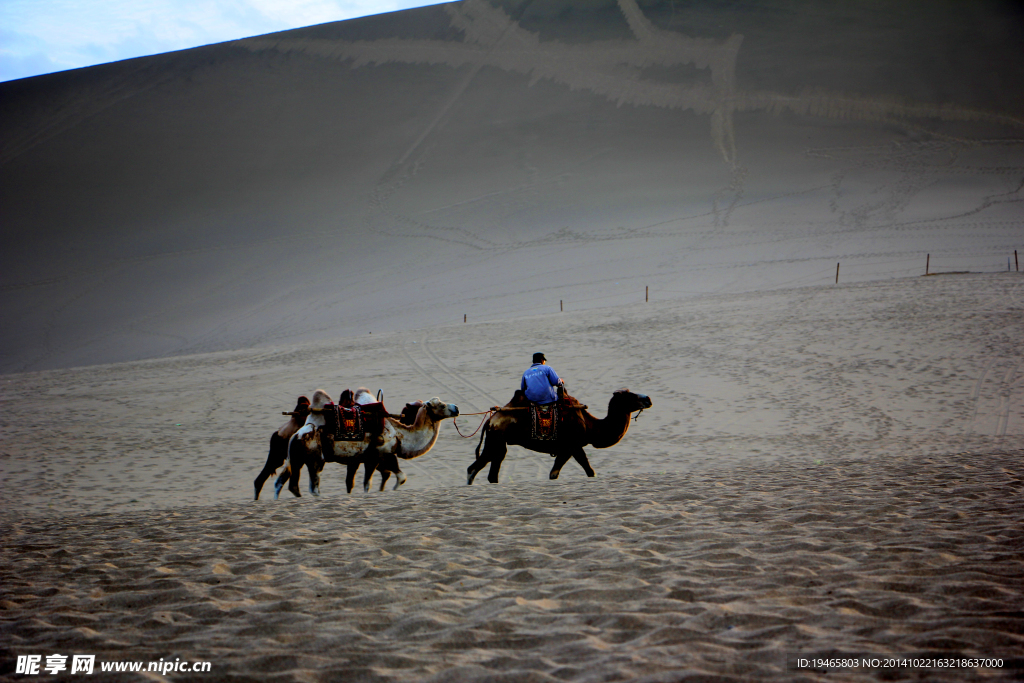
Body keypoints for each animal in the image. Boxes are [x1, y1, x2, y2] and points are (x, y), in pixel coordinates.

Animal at [278, 389, 458, 497]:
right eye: (441, 405)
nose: (456, 407)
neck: (400, 435)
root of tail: (297, 435)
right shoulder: (382, 454)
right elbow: (398, 478)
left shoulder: (365, 458)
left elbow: (362, 483)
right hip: (314, 458)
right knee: (313, 486)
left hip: (297, 458)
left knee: (288, 483)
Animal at [466, 389, 651, 485]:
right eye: (630, 396)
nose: (648, 398)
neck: (590, 426)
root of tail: (490, 420)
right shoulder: (573, 445)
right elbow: (588, 470)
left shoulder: (566, 448)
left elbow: (555, 472)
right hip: (496, 439)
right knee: (474, 468)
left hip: (498, 442)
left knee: (492, 470)